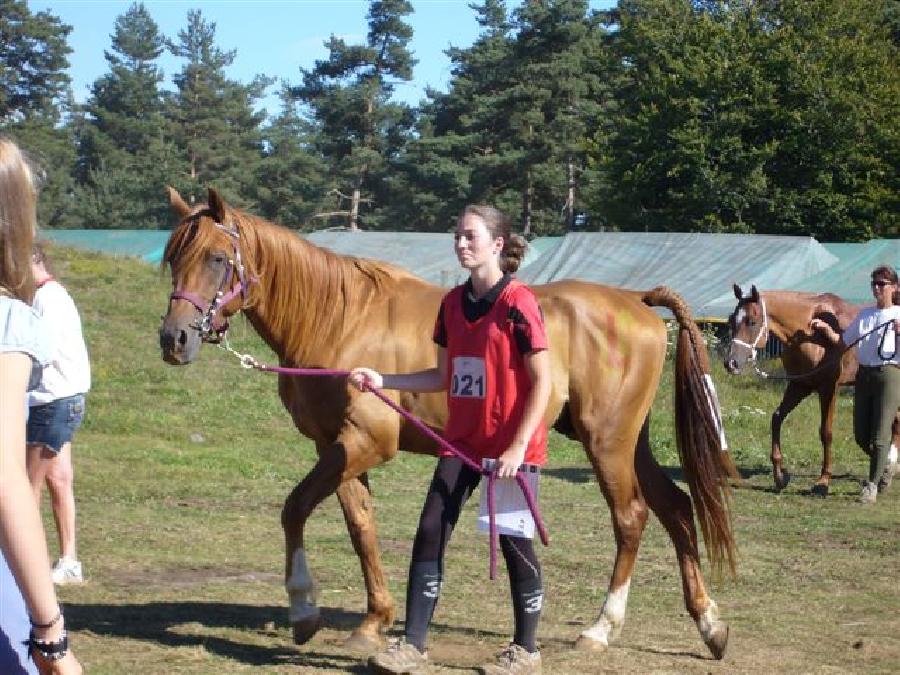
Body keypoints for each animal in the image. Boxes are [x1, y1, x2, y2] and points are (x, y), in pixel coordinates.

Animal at [160, 189, 740, 660]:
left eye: (216, 258)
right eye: (172, 258)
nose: (174, 339)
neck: (337, 317)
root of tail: (635, 300)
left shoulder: (366, 443)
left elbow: (295, 508)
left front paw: (304, 610)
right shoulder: (336, 447)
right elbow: (360, 527)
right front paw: (374, 621)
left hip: (608, 443)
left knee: (632, 517)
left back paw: (602, 627)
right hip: (628, 442)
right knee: (676, 508)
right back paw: (709, 623)